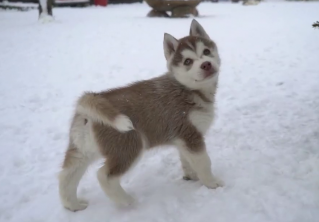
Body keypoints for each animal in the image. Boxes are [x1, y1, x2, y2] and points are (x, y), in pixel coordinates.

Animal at [60, 19, 225, 212]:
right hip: (130, 145)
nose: (206, 64)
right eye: (188, 61)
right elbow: (204, 162)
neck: (188, 90)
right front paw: (212, 183)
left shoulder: (184, 140)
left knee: (66, 175)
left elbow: (187, 161)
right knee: (104, 175)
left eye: (206, 52)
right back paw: (126, 201)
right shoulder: (190, 135)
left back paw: (73, 205)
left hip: (82, 151)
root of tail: (92, 101)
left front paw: (192, 176)